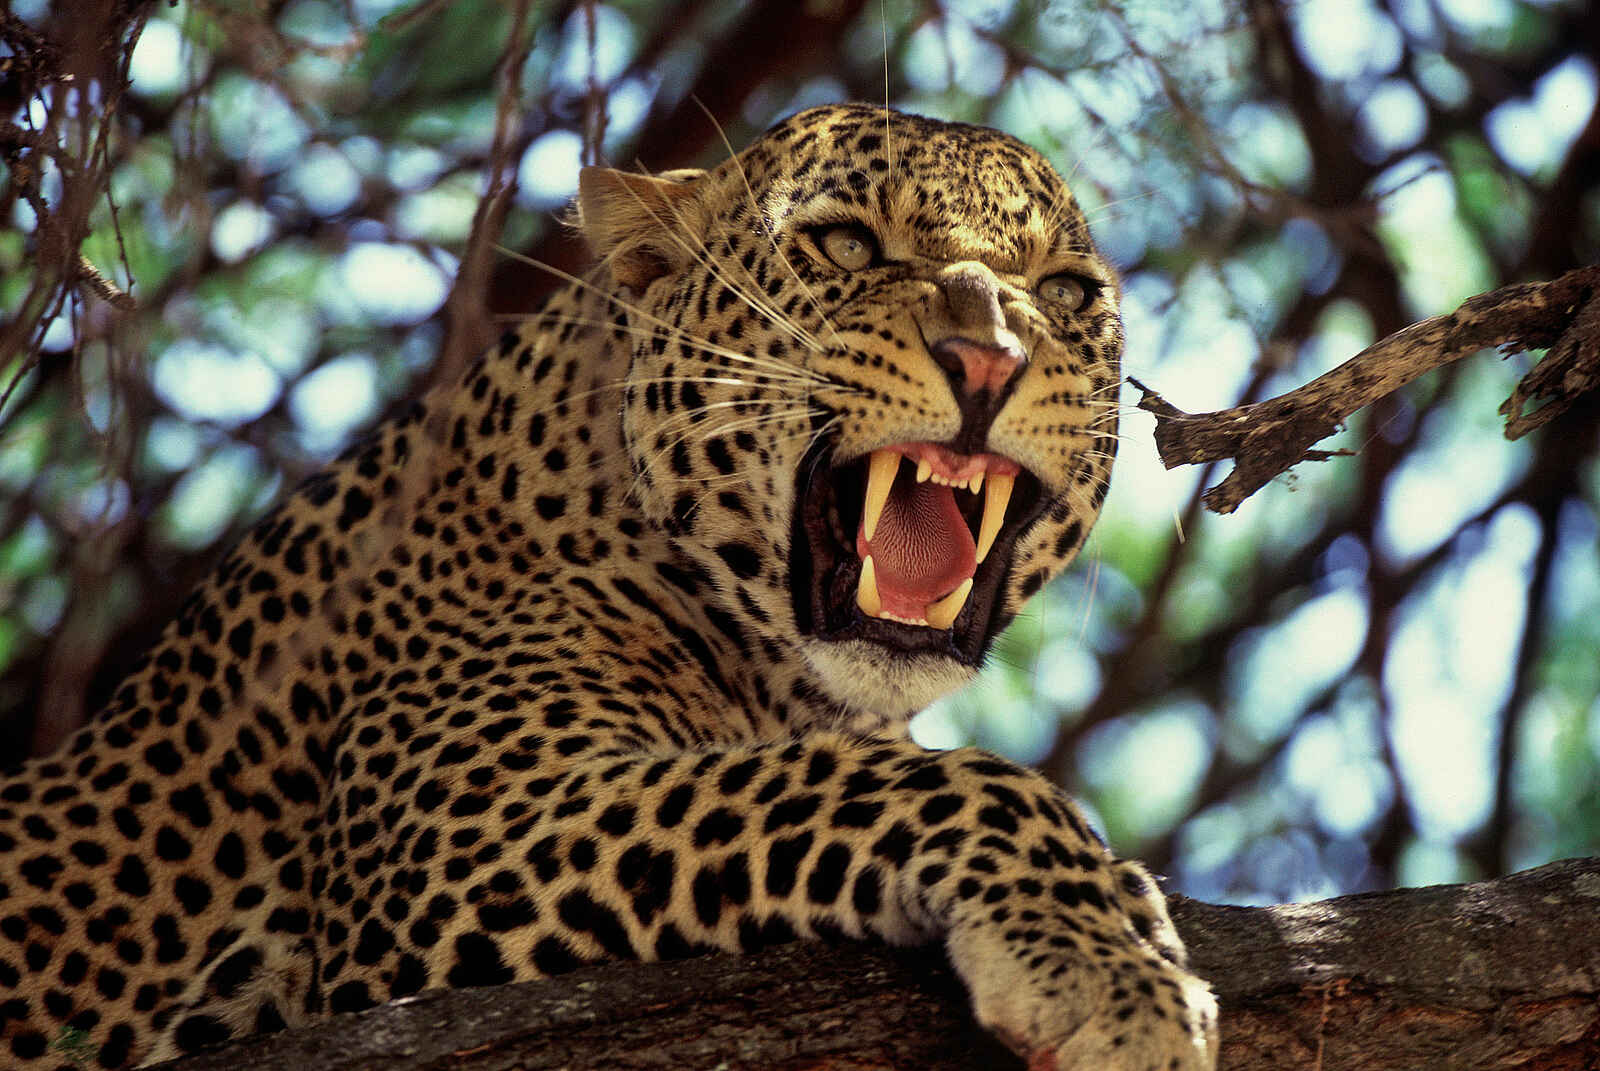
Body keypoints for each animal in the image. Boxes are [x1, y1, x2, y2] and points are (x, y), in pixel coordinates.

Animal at [0, 103, 1218, 1070]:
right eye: (842, 243)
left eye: (1064, 294)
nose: (989, 359)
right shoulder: (462, 833)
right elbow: (897, 779)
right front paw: (1109, 964)